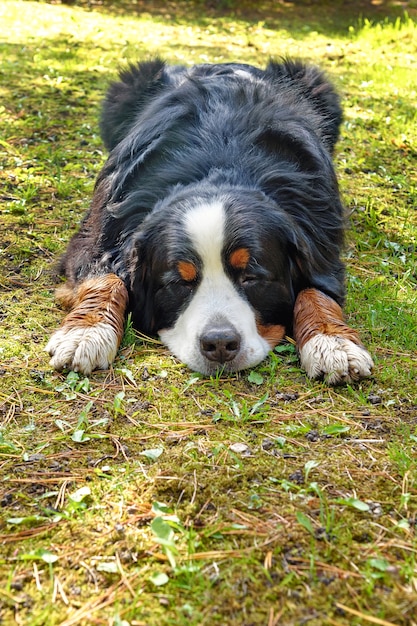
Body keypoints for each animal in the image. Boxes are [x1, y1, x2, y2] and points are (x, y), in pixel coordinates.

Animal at [45, 58, 374, 382]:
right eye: (179, 282)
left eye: (251, 277)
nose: (219, 343)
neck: (221, 165)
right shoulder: (100, 233)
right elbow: (104, 279)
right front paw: (86, 333)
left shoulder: (320, 237)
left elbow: (316, 291)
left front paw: (332, 343)